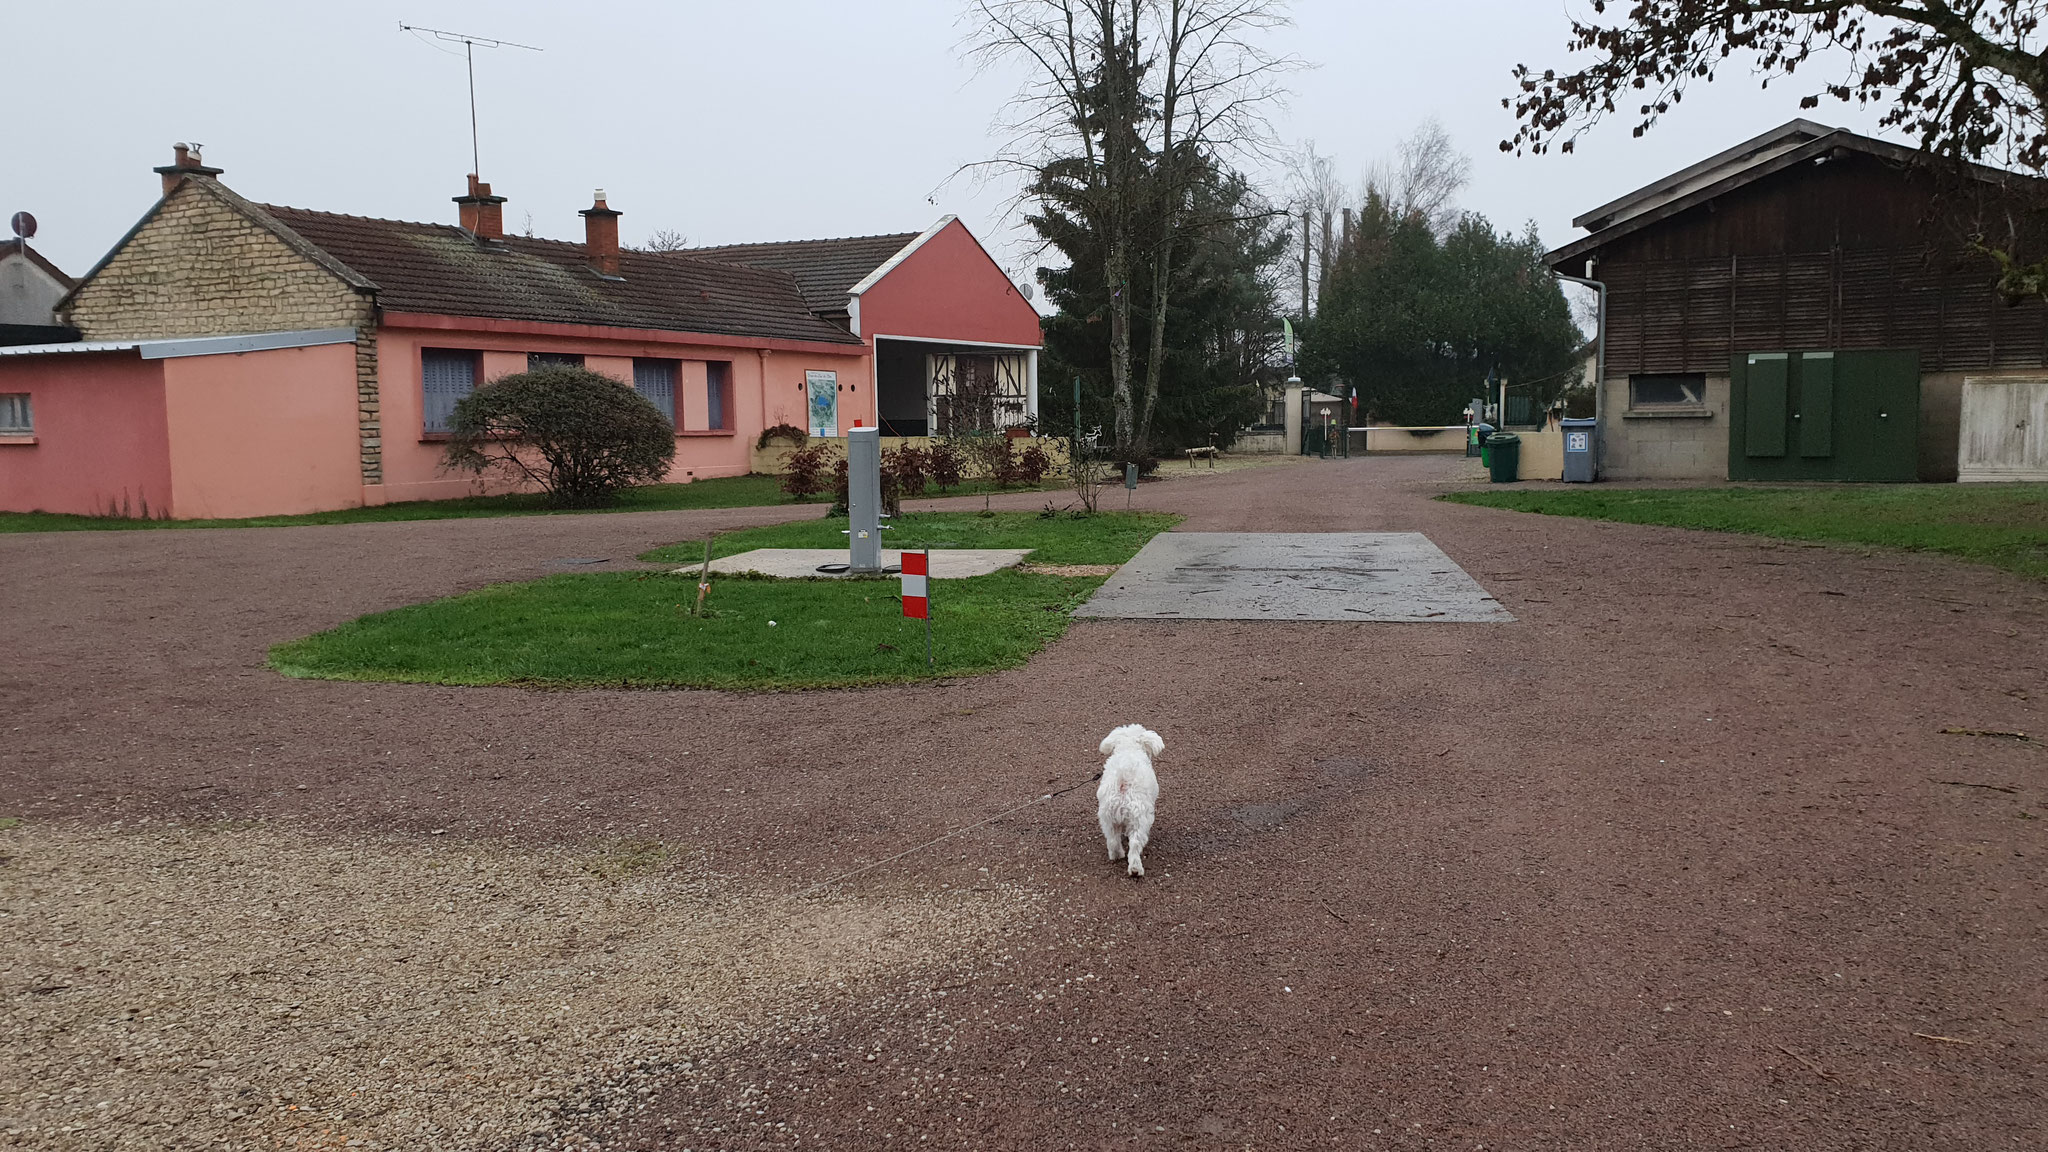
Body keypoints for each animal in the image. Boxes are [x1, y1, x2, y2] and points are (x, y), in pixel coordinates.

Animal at [1097, 721, 1163, 873]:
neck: (1129, 748)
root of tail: (1123, 779)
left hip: (1108, 817)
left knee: (1113, 840)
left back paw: (1117, 855)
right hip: (1140, 818)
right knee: (1135, 844)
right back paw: (1135, 868)